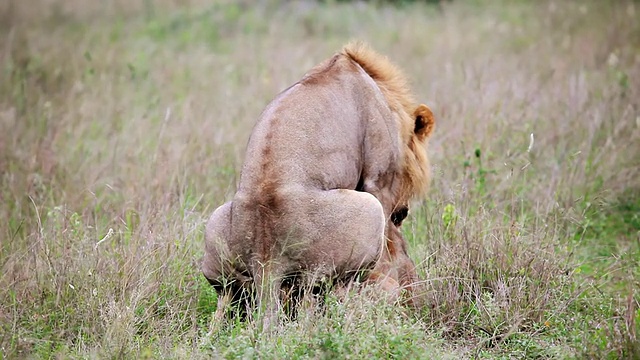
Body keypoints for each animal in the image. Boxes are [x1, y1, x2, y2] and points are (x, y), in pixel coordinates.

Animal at [202, 42, 438, 324]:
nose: (404, 211)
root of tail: (265, 259)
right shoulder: (378, 181)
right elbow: (391, 247)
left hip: (218, 236)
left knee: (226, 305)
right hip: (367, 210)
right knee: (326, 296)